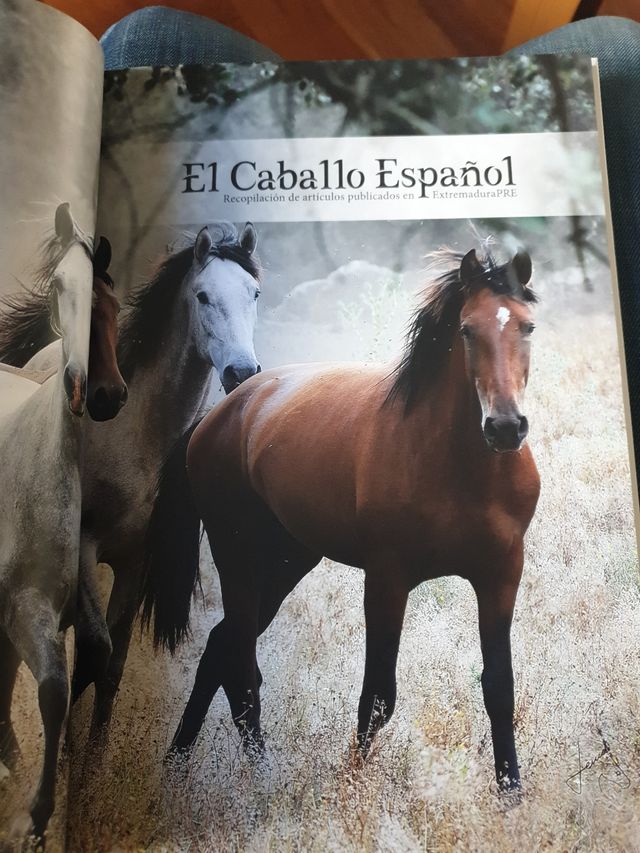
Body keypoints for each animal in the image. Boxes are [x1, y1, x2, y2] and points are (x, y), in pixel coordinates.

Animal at [1, 221, 262, 739]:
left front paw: (92, 756)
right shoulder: (84, 550)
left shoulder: (135, 562)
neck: (135, 436)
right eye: (203, 296)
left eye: (255, 293)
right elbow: (94, 654)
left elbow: (112, 670)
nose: (242, 372)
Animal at [143, 245, 541, 792]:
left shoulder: (501, 574)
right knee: (241, 667)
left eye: (527, 327)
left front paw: (512, 795)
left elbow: (499, 689)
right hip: (238, 558)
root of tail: (218, 417)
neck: (460, 466)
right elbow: (377, 698)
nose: (504, 427)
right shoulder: (387, 579)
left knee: (220, 649)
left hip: (288, 561)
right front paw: (353, 789)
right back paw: (260, 783)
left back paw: (176, 765)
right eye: (466, 329)